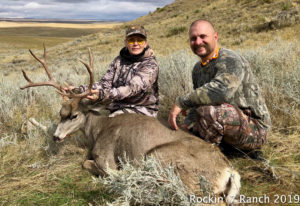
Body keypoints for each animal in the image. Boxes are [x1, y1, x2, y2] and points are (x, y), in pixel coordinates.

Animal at [20, 45, 241, 204]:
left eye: (74, 115)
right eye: (60, 112)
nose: (56, 137)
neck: (98, 130)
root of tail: (229, 170)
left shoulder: (106, 158)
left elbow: (88, 164)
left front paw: (121, 174)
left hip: (161, 158)